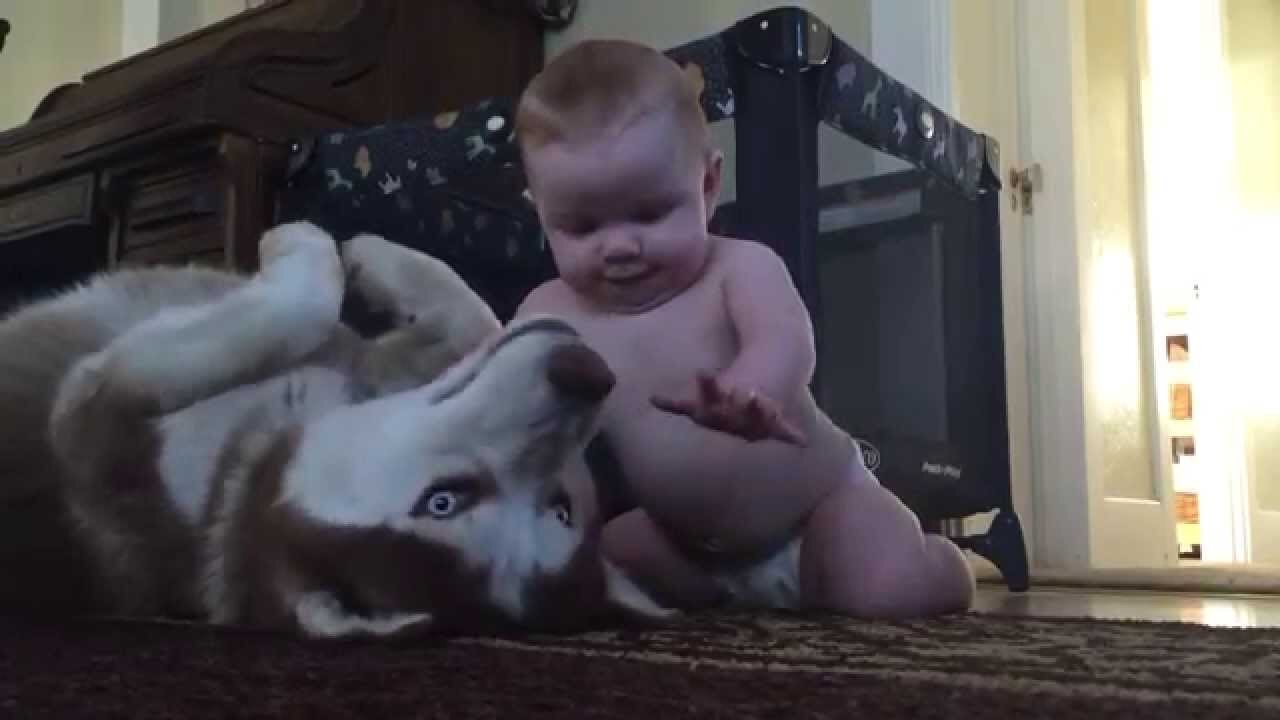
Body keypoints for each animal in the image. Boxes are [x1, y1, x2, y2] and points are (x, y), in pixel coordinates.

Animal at [0, 221, 675, 635]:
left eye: (440, 501)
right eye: (563, 508)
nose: (588, 375)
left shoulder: (91, 406)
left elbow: (299, 310)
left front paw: (302, 242)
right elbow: (475, 316)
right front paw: (373, 253)